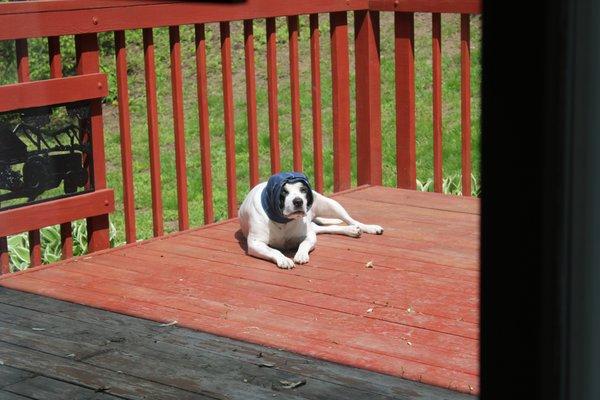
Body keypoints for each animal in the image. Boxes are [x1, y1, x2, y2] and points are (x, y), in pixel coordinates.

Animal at [237, 171, 382, 268]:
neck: (284, 221)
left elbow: (303, 244)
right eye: (284, 192)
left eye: (303, 190)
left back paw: (368, 227)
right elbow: (274, 250)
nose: (298, 201)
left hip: (331, 205)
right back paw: (351, 230)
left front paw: (301, 255)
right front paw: (284, 259)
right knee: (327, 228)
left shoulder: (309, 237)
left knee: (350, 219)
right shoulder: (255, 244)